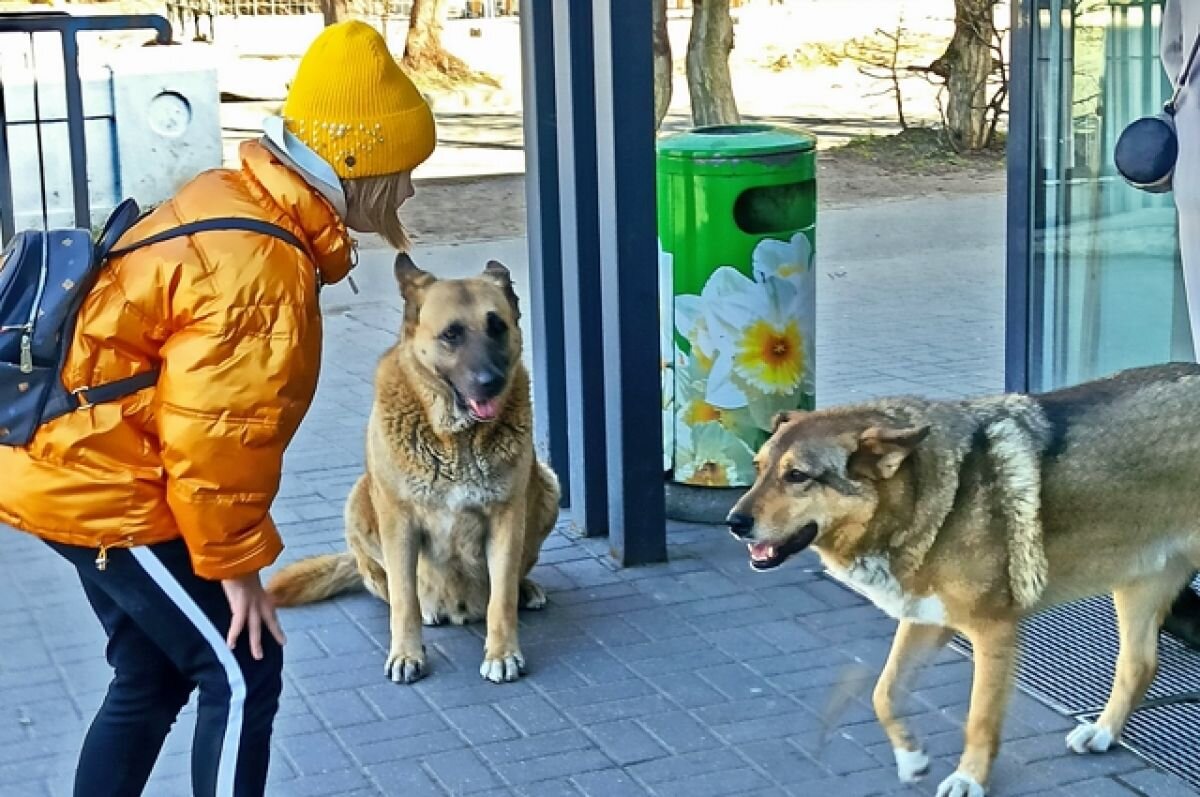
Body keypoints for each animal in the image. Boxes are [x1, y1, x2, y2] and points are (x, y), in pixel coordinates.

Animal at [270, 253, 559, 686]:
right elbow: (404, 601)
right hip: (359, 501)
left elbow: (502, 598)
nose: (491, 383)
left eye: (498, 327)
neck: (457, 441)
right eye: (451, 334)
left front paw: (503, 652)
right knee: (390, 588)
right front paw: (407, 653)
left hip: (546, 485)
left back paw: (525, 589)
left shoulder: (507, 519)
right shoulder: (400, 523)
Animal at [724, 362, 1200, 797]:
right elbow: (883, 693)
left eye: (797, 476)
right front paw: (910, 757)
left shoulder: (994, 633)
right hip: (1136, 585)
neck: (923, 500)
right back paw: (1103, 732)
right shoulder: (925, 619)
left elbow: (979, 719)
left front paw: (970, 778)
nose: (733, 522)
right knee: (1139, 664)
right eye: (758, 467)